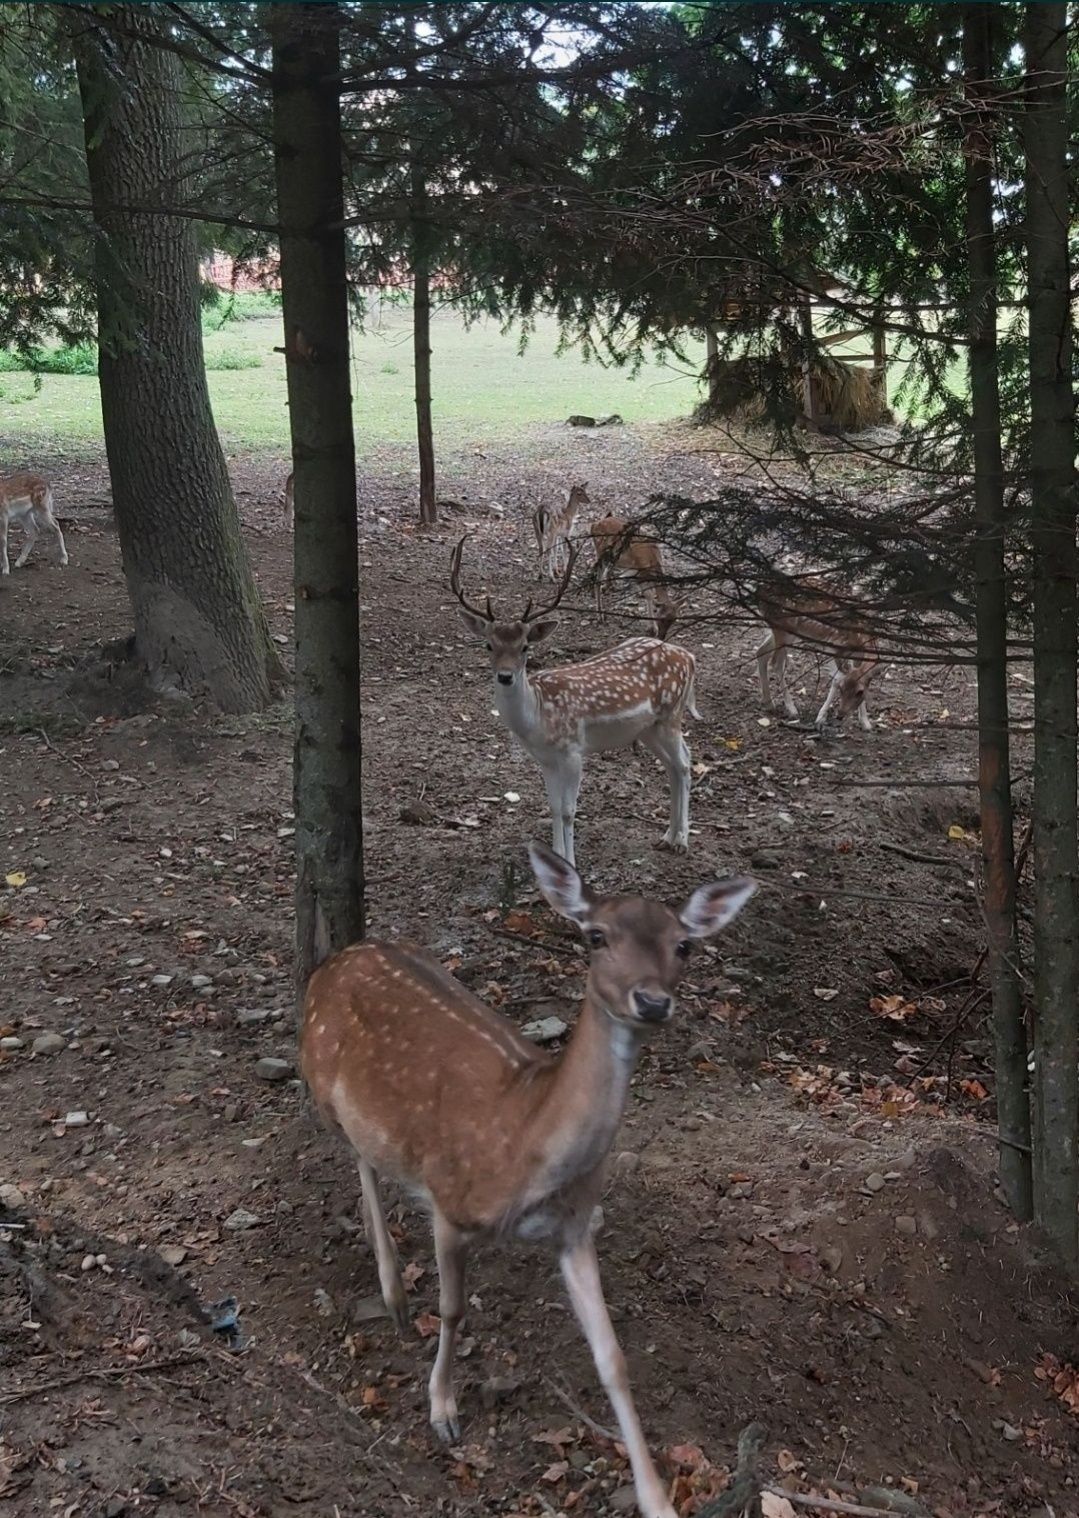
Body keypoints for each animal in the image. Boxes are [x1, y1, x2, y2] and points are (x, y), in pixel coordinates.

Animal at [301, 844, 758, 1518]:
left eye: (684, 945)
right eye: (595, 936)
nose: (652, 1002)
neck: (525, 1146)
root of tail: (336, 958)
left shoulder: (573, 1229)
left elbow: (612, 1357)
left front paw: (656, 1499)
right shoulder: (450, 1203)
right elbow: (453, 1309)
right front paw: (442, 1411)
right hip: (322, 1081)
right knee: (359, 1156)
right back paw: (392, 1292)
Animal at [449, 534, 695, 868]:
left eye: (525, 646)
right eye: (488, 645)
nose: (505, 676)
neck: (538, 718)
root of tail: (688, 657)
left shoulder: (573, 751)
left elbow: (568, 811)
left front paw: (570, 864)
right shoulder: (545, 759)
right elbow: (553, 807)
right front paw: (555, 859)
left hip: (671, 715)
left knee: (684, 763)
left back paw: (681, 840)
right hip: (648, 729)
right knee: (674, 763)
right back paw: (667, 836)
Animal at [755, 573, 880, 728]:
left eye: (860, 692)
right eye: (842, 689)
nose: (840, 715)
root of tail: (758, 592)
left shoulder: (857, 657)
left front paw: (865, 722)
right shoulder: (832, 644)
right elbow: (836, 679)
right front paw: (820, 717)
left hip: (783, 631)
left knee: (761, 652)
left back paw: (768, 703)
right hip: (784, 628)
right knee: (776, 663)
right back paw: (791, 708)